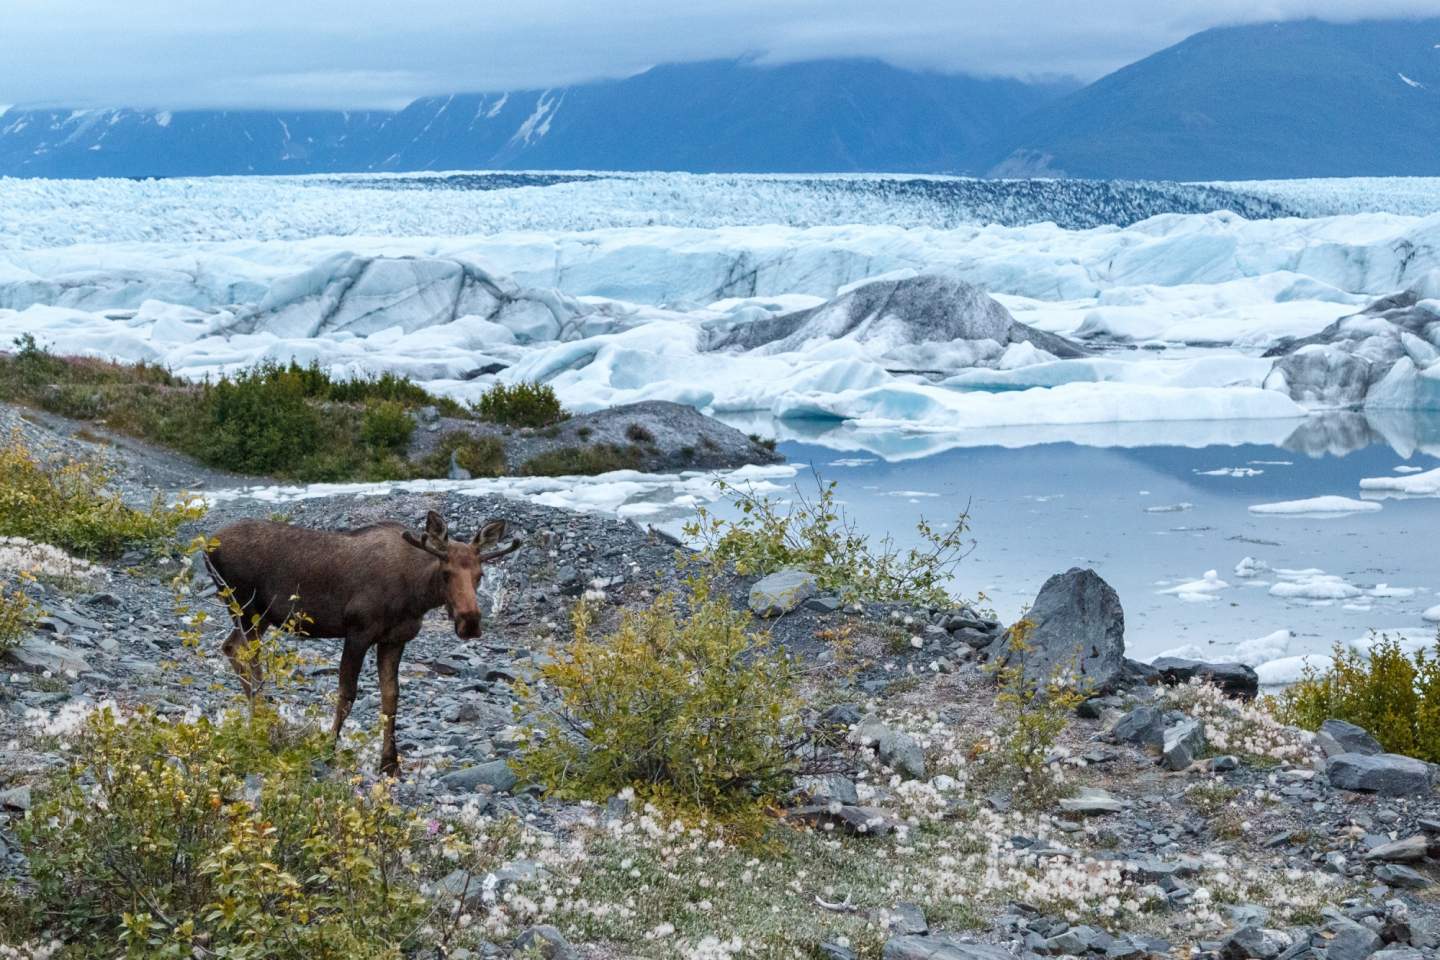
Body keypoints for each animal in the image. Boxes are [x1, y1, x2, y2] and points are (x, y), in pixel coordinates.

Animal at [200, 509, 521, 771]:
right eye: (446, 572)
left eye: (480, 574)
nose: (470, 622)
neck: (415, 595)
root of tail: (205, 547)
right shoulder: (357, 631)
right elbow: (347, 694)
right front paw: (329, 747)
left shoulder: (394, 639)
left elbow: (391, 697)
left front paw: (389, 763)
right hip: (246, 607)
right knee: (245, 654)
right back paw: (263, 724)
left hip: (259, 616)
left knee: (230, 647)